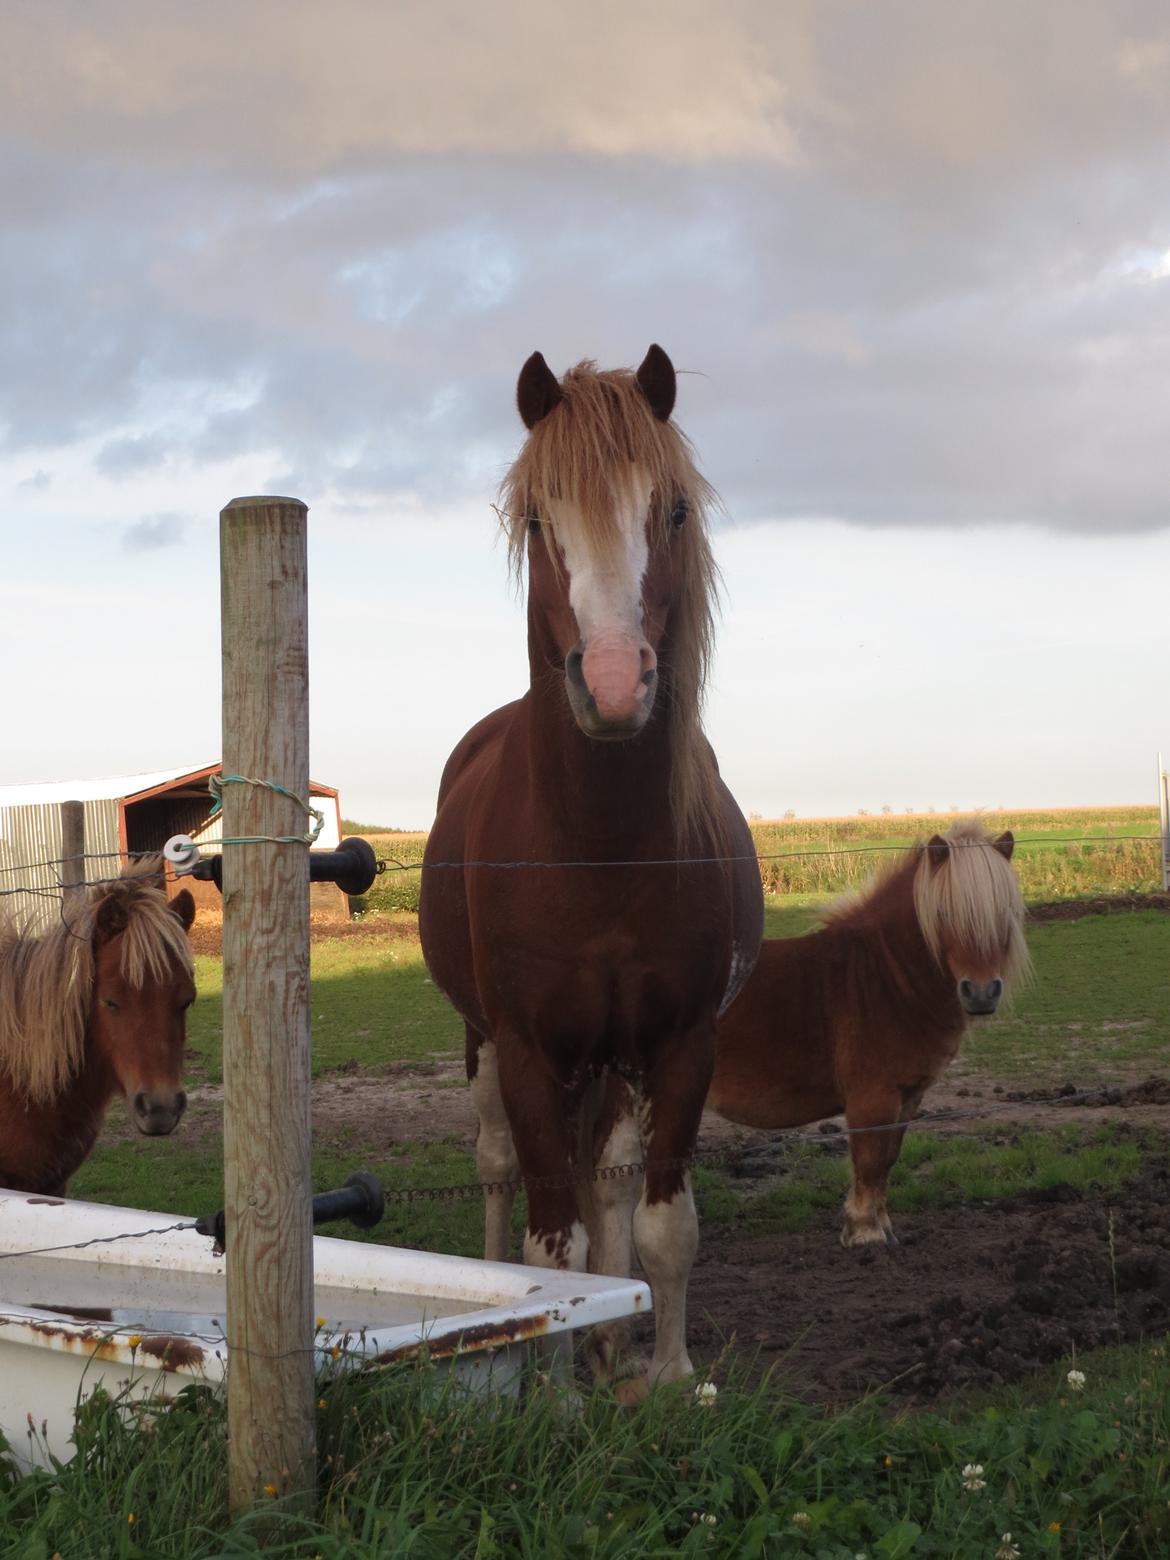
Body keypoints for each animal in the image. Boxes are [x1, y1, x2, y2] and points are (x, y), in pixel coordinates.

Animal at [421, 347, 770, 1397]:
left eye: (674, 510)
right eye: (540, 519)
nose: (614, 683)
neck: (601, 848)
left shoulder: (682, 1045)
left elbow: (661, 1226)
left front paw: (665, 1374)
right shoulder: (532, 1052)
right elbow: (553, 1248)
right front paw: (555, 1398)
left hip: (615, 1059)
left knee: (609, 1183)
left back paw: (612, 1348)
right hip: (484, 1046)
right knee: (499, 1171)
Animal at [711, 823, 1029, 1248]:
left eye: (1004, 910)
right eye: (945, 912)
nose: (980, 993)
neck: (886, 978)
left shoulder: (908, 1096)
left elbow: (888, 1159)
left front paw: (882, 1227)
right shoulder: (872, 1097)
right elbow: (869, 1160)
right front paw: (865, 1233)